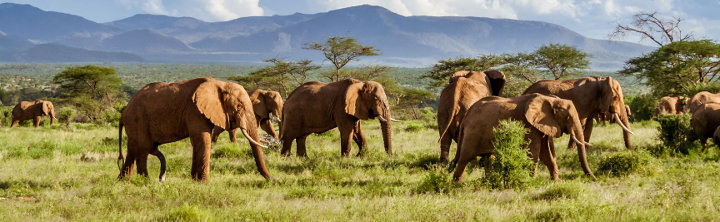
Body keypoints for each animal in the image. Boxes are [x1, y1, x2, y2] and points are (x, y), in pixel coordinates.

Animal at [118, 77, 270, 183]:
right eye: (239, 106)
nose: (272, 180)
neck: (220, 84)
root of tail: (124, 112)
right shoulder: (195, 111)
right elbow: (203, 140)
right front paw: (204, 184)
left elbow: (197, 142)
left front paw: (195, 181)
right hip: (138, 120)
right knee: (142, 148)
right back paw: (145, 181)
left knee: (133, 149)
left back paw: (124, 180)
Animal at [450, 93, 596, 182]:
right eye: (567, 117)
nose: (594, 178)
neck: (550, 100)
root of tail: (466, 117)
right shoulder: (528, 125)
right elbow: (534, 152)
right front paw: (532, 181)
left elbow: (546, 154)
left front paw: (556, 181)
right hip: (472, 133)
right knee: (465, 157)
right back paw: (460, 183)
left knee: (488, 158)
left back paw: (488, 181)